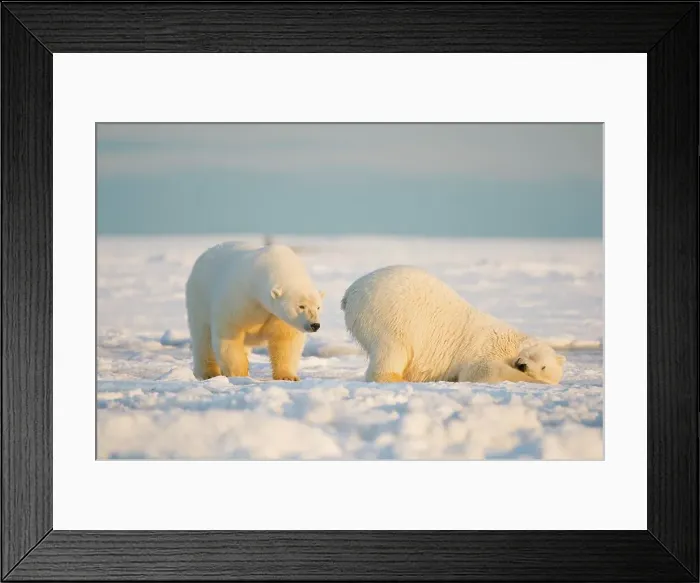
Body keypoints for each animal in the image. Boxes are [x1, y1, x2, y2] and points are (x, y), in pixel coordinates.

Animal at [185, 242, 324, 381]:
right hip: (199, 298)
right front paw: (240, 374)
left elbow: (285, 340)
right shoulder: (239, 299)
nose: (315, 325)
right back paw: (209, 373)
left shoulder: (276, 316)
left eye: (318, 307)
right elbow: (230, 336)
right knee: (203, 338)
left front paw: (288, 377)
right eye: (301, 306)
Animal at [340, 265, 566, 385]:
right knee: (394, 349)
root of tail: (350, 293)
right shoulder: (485, 349)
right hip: (389, 315)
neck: (508, 341)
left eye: (543, 367)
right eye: (534, 356)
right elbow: (481, 372)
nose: (523, 364)